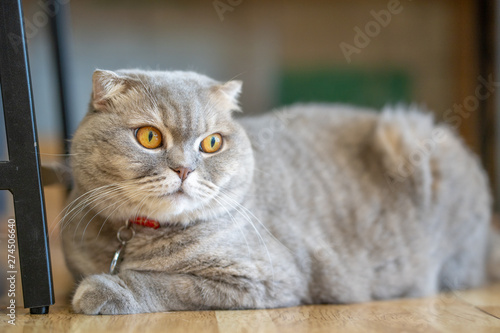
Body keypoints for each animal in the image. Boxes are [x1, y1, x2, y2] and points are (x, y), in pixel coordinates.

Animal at [60, 68, 498, 312]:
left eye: (212, 143)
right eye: (149, 137)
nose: (184, 169)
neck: (138, 236)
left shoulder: (264, 278)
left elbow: (164, 282)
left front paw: (100, 290)